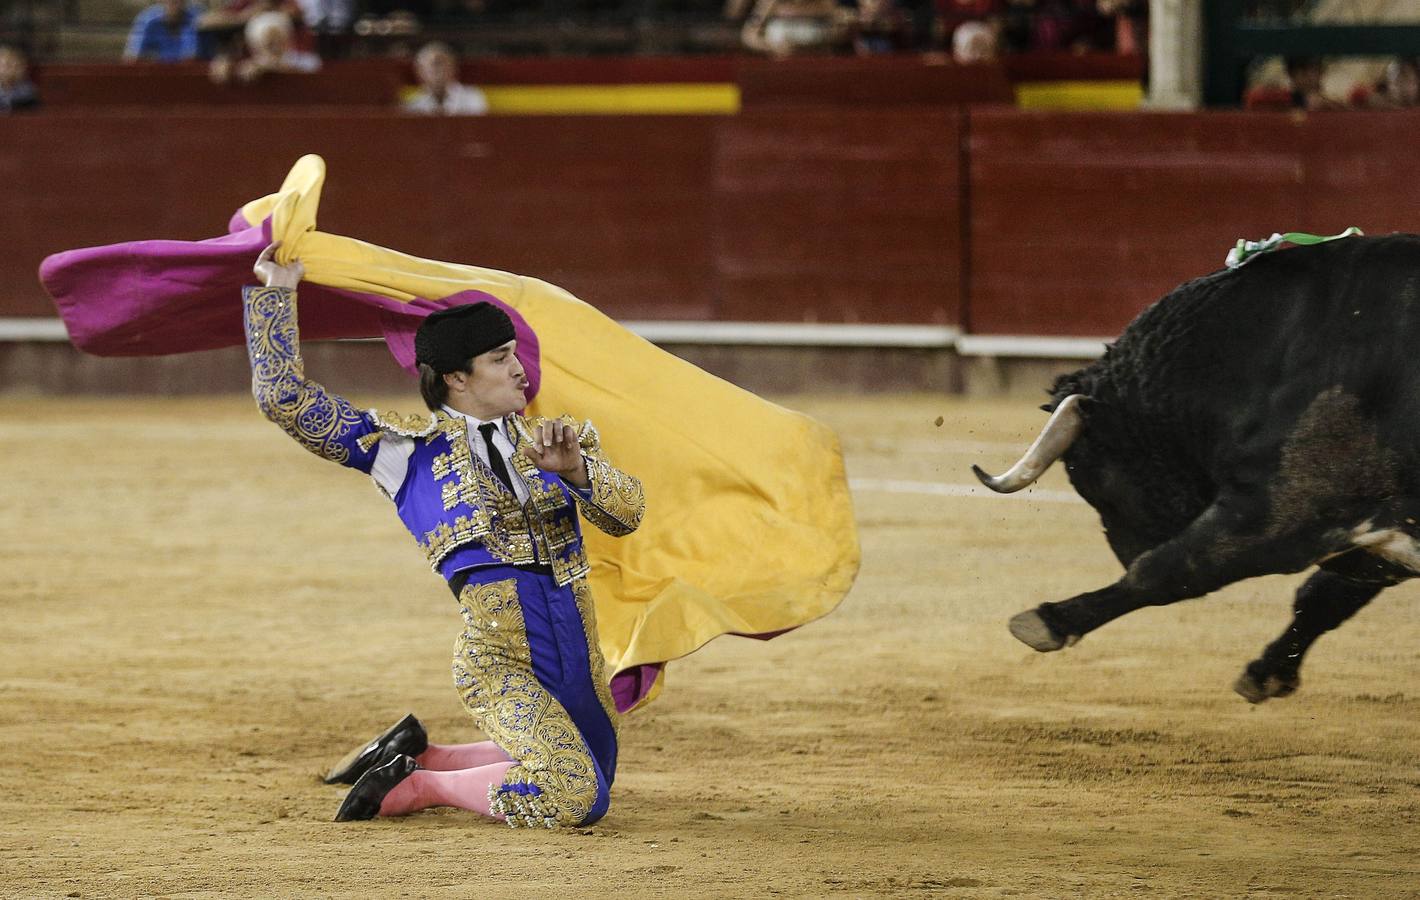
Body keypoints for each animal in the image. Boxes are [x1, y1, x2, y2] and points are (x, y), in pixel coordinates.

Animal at [976, 231, 1420, 701]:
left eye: (1088, 477)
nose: (1125, 554)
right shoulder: (1375, 531)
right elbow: (1323, 596)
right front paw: (1266, 673)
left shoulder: (1287, 510)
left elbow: (1168, 570)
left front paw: (1050, 620)